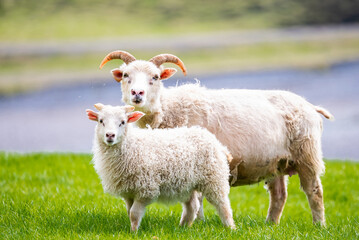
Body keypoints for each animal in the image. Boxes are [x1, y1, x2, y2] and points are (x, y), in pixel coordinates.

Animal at [86, 103, 235, 231]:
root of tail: (216, 142)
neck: (132, 145)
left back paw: (230, 227)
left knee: (222, 204)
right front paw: (132, 229)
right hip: (187, 184)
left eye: (123, 122)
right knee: (192, 206)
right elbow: (129, 212)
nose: (110, 135)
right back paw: (182, 227)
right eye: (101, 121)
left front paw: (133, 232)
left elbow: (134, 213)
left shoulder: (146, 188)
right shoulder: (128, 191)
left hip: (214, 178)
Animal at [99, 50, 334, 225]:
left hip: (306, 155)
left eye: (155, 78)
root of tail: (310, 105)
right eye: (126, 75)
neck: (168, 109)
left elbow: (197, 198)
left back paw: (319, 225)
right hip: (276, 162)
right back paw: (271, 224)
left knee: (315, 192)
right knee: (279, 196)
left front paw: (197, 223)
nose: (137, 94)